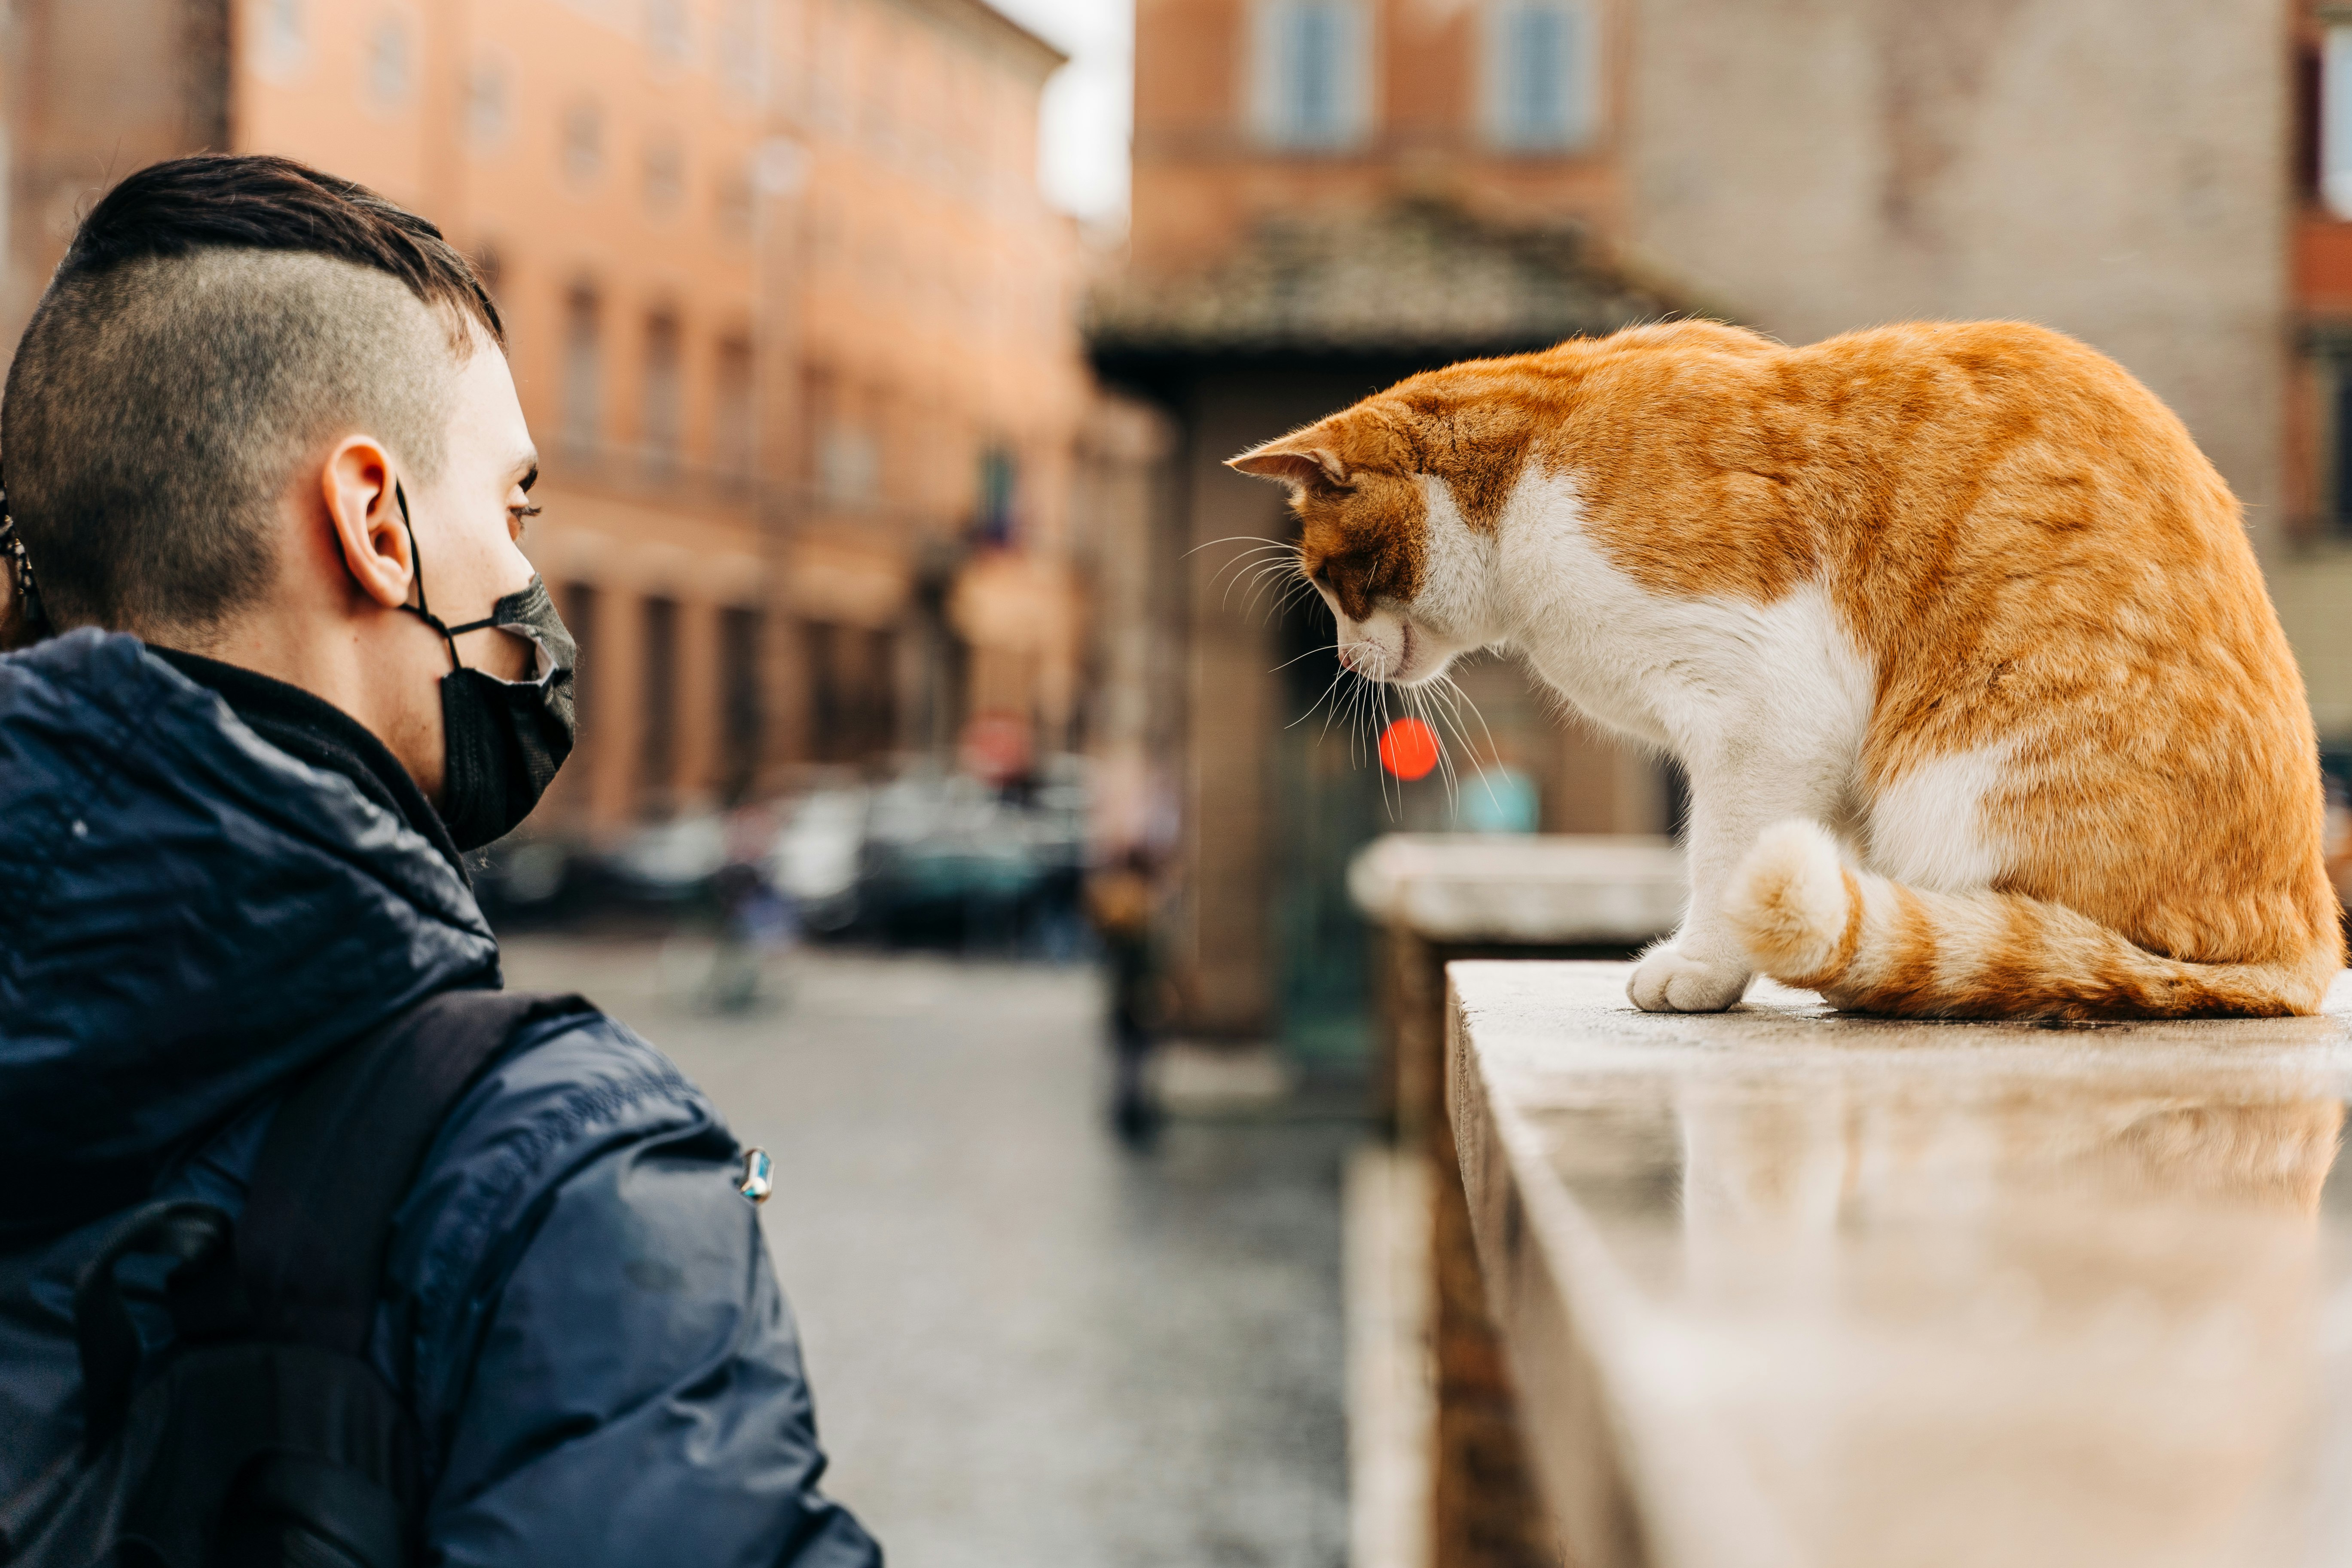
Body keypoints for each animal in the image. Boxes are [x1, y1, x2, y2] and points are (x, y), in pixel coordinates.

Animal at [1242, 324, 2343, 1025]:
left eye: (1329, 581)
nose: (1343, 656)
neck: (1526, 482)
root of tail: (2305, 936)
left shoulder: (1765, 714)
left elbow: (1724, 861)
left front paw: (1701, 969)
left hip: (1959, 780)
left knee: (2029, 953)